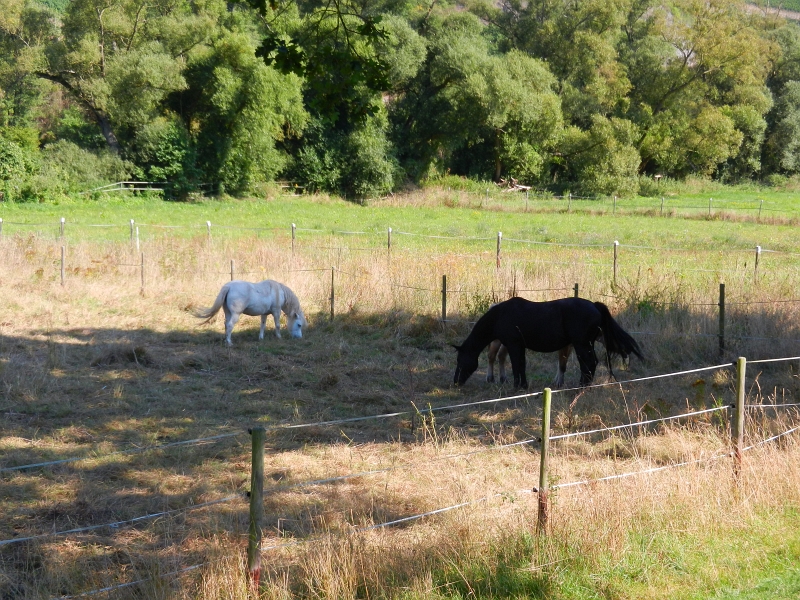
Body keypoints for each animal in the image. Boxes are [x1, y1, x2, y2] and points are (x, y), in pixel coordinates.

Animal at [454, 296, 640, 390]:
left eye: (460, 360)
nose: (455, 382)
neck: (500, 315)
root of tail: (594, 305)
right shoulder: (519, 347)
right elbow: (521, 365)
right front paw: (523, 386)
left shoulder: (514, 345)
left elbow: (516, 366)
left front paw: (516, 387)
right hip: (585, 344)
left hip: (581, 344)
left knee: (589, 363)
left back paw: (581, 387)